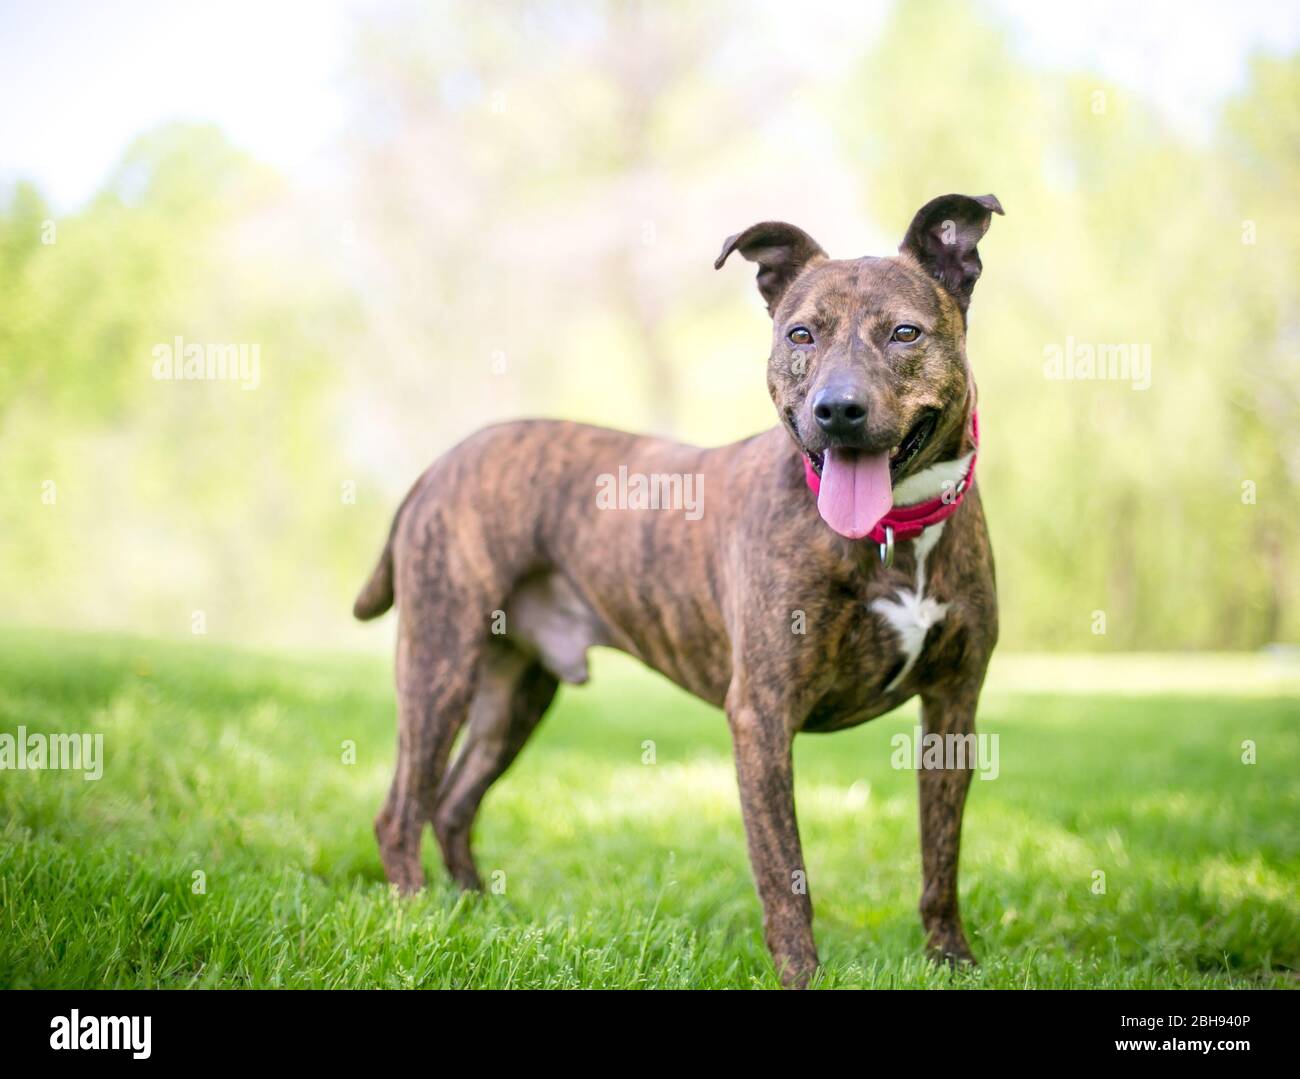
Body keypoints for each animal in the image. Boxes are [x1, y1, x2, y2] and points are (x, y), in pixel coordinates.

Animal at [356, 192, 1003, 987]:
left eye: (905, 332)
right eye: (802, 333)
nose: (837, 409)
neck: (894, 531)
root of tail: (441, 461)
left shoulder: (953, 708)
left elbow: (941, 857)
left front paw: (952, 960)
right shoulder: (762, 715)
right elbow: (785, 872)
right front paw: (802, 974)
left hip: (517, 693)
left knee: (451, 803)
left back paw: (477, 913)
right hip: (439, 663)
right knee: (402, 808)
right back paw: (415, 918)